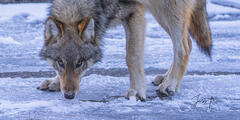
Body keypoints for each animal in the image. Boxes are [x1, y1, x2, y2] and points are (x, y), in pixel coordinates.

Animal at [37, 0, 212, 100]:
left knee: (182, 47)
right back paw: (165, 78)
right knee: (188, 42)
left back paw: (170, 84)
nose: (69, 96)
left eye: (80, 63)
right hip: (160, 12)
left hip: (169, 9)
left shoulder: (134, 12)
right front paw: (55, 81)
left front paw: (136, 91)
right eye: (60, 62)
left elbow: (132, 56)